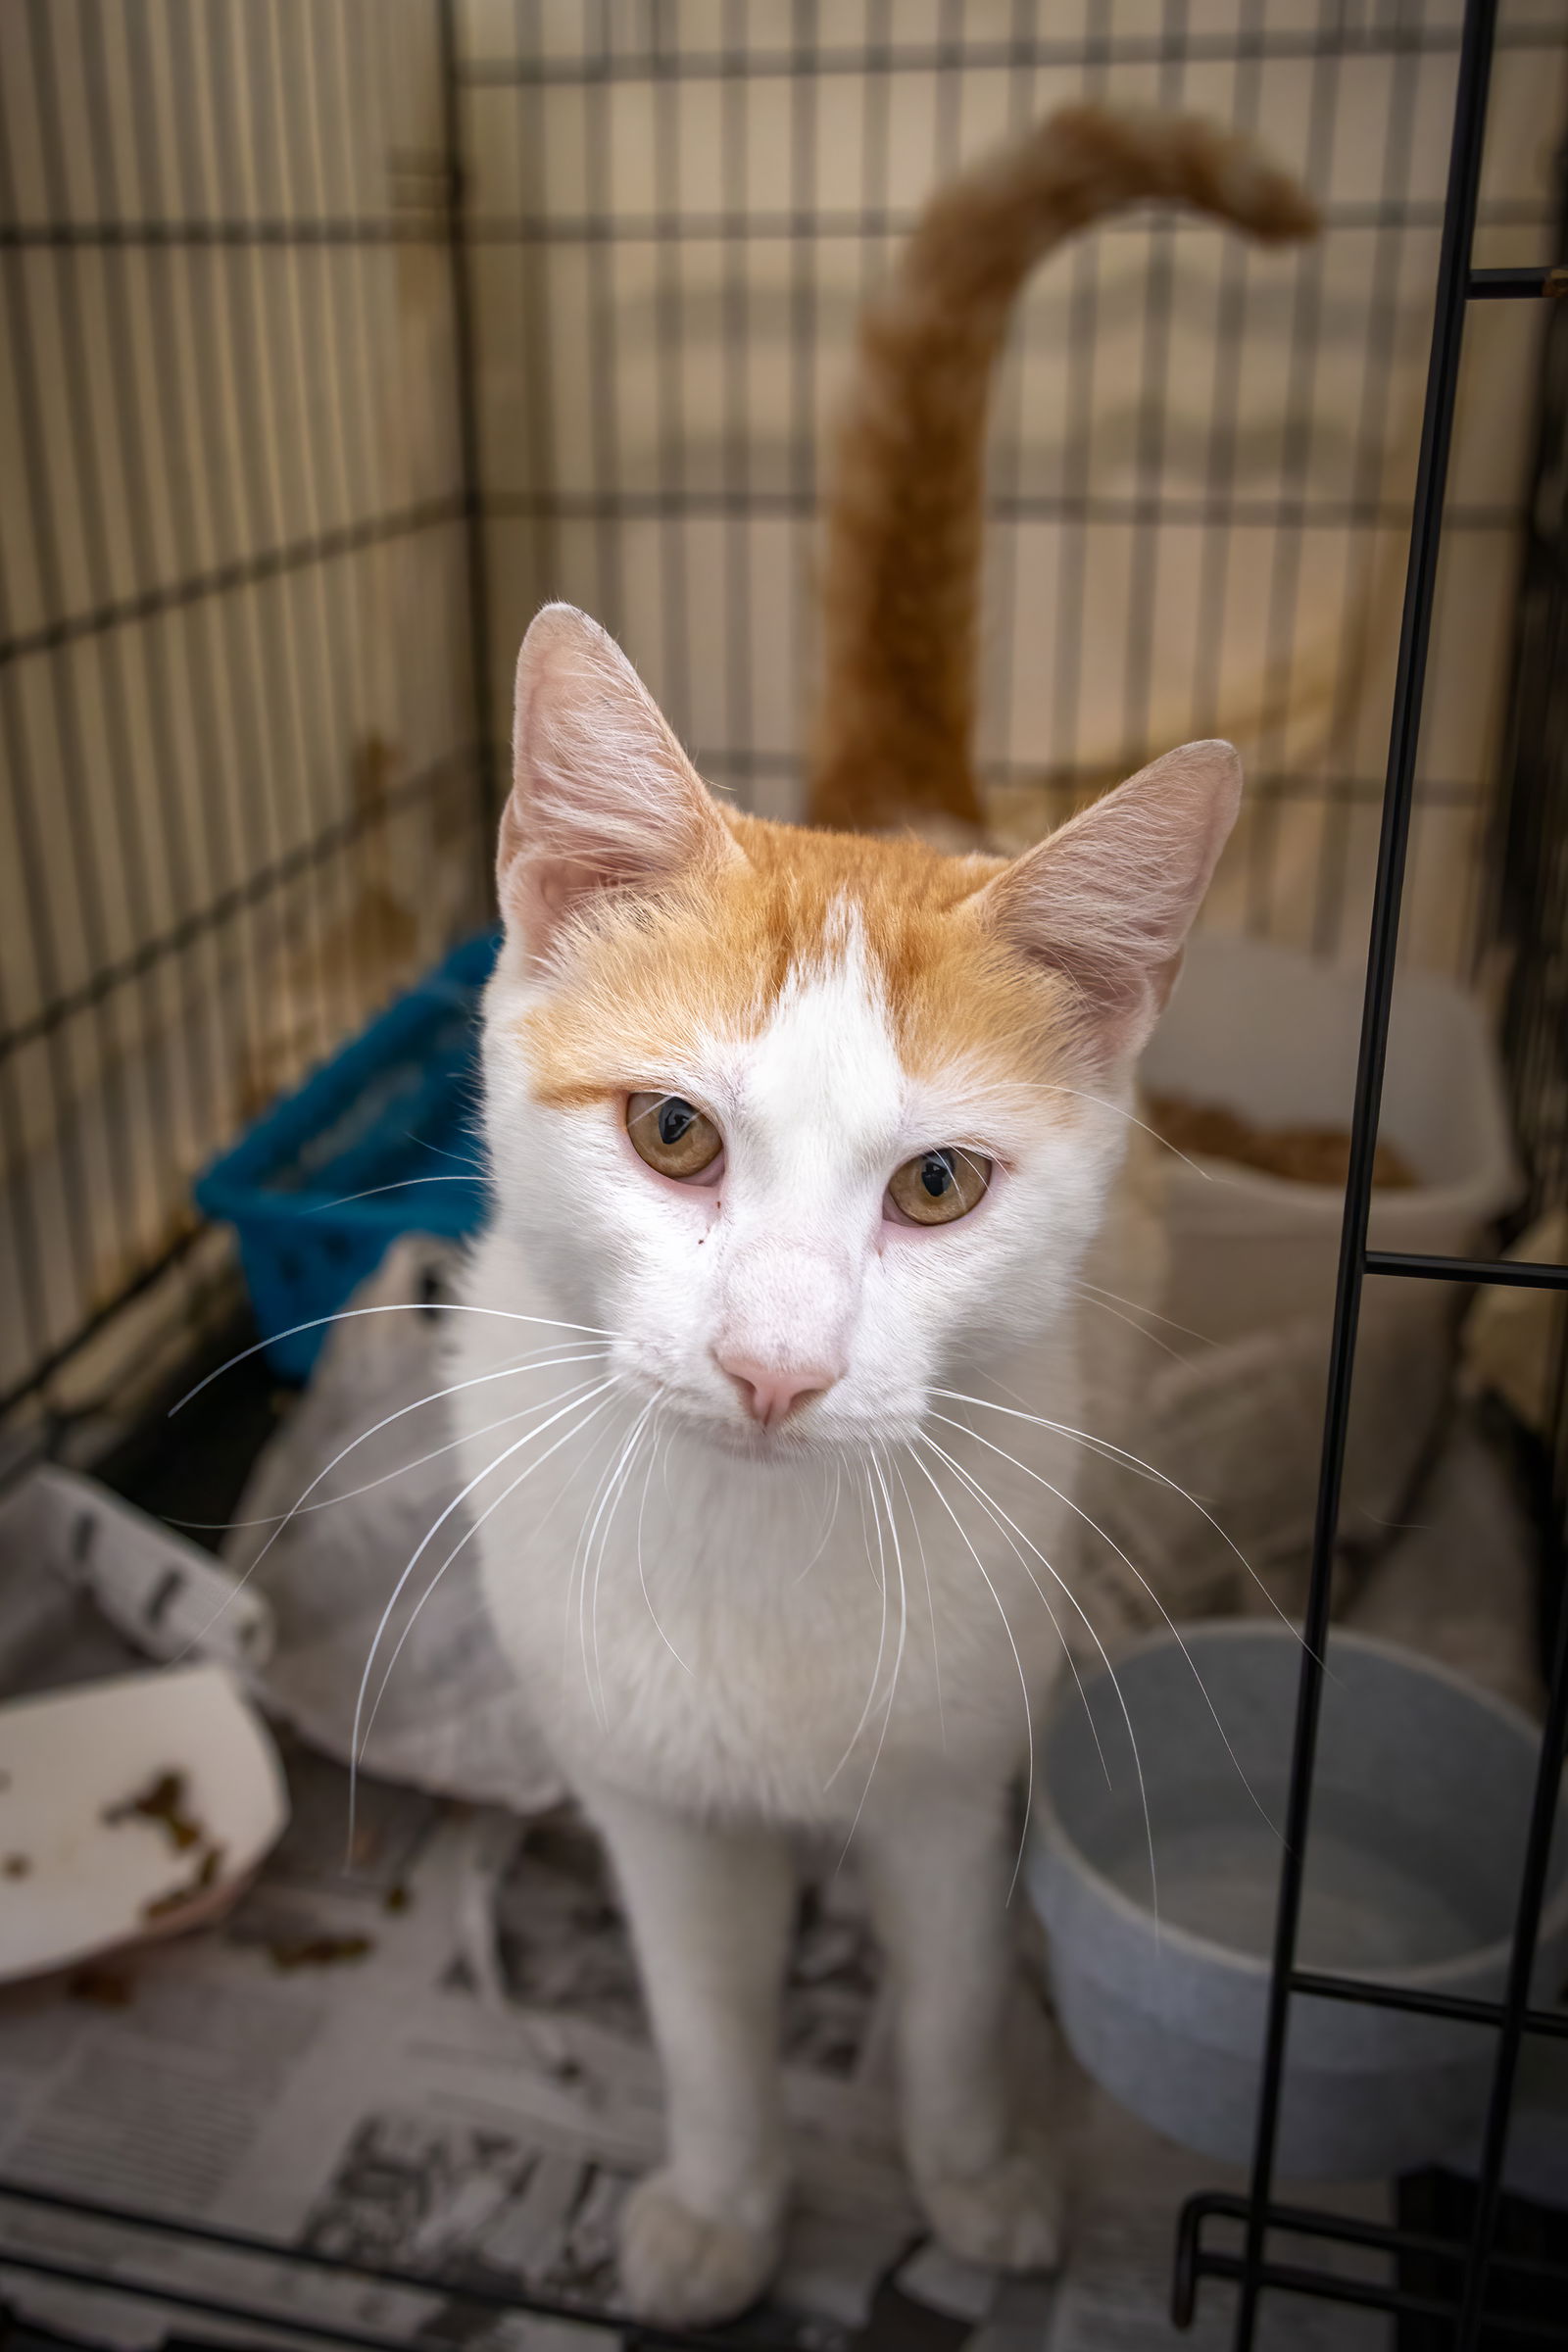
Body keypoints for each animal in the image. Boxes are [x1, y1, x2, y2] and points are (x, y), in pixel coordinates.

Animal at [451, 101, 1316, 2324]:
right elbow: (702, 2019)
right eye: (673, 1136)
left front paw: (976, 2175)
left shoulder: (946, 1786)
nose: (773, 1366)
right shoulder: (650, 1804)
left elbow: (941, 1997)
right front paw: (722, 2202)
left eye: (938, 1185)